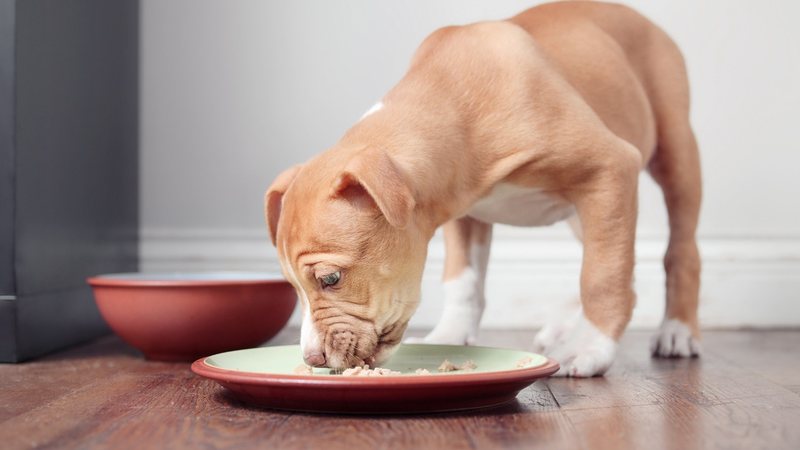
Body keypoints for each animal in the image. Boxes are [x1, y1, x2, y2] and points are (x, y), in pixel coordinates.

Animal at [264, 1, 700, 376]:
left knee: (676, 252)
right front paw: (450, 335)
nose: (313, 358)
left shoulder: (610, 167)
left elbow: (602, 277)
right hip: (589, 210)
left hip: (673, 155)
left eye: (331, 279)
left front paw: (589, 347)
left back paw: (675, 330)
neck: (449, 98)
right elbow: (463, 282)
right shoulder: (460, 211)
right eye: (292, 286)